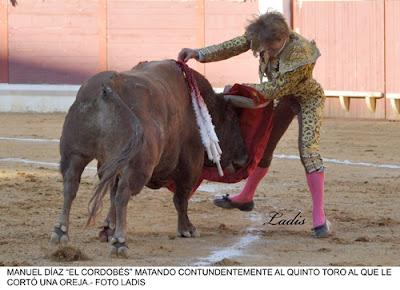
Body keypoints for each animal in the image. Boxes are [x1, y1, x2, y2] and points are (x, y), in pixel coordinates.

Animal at [50, 60, 248, 258]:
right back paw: (120, 242)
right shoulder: (191, 164)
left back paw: (60, 232)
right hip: (137, 166)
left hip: (75, 154)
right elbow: (181, 198)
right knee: (123, 194)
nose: (244, 159)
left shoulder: (111, 164)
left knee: (71, 186)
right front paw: (187, 229)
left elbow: (111, 194)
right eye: (232, 119)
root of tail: (109, 87)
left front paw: (108, 229)